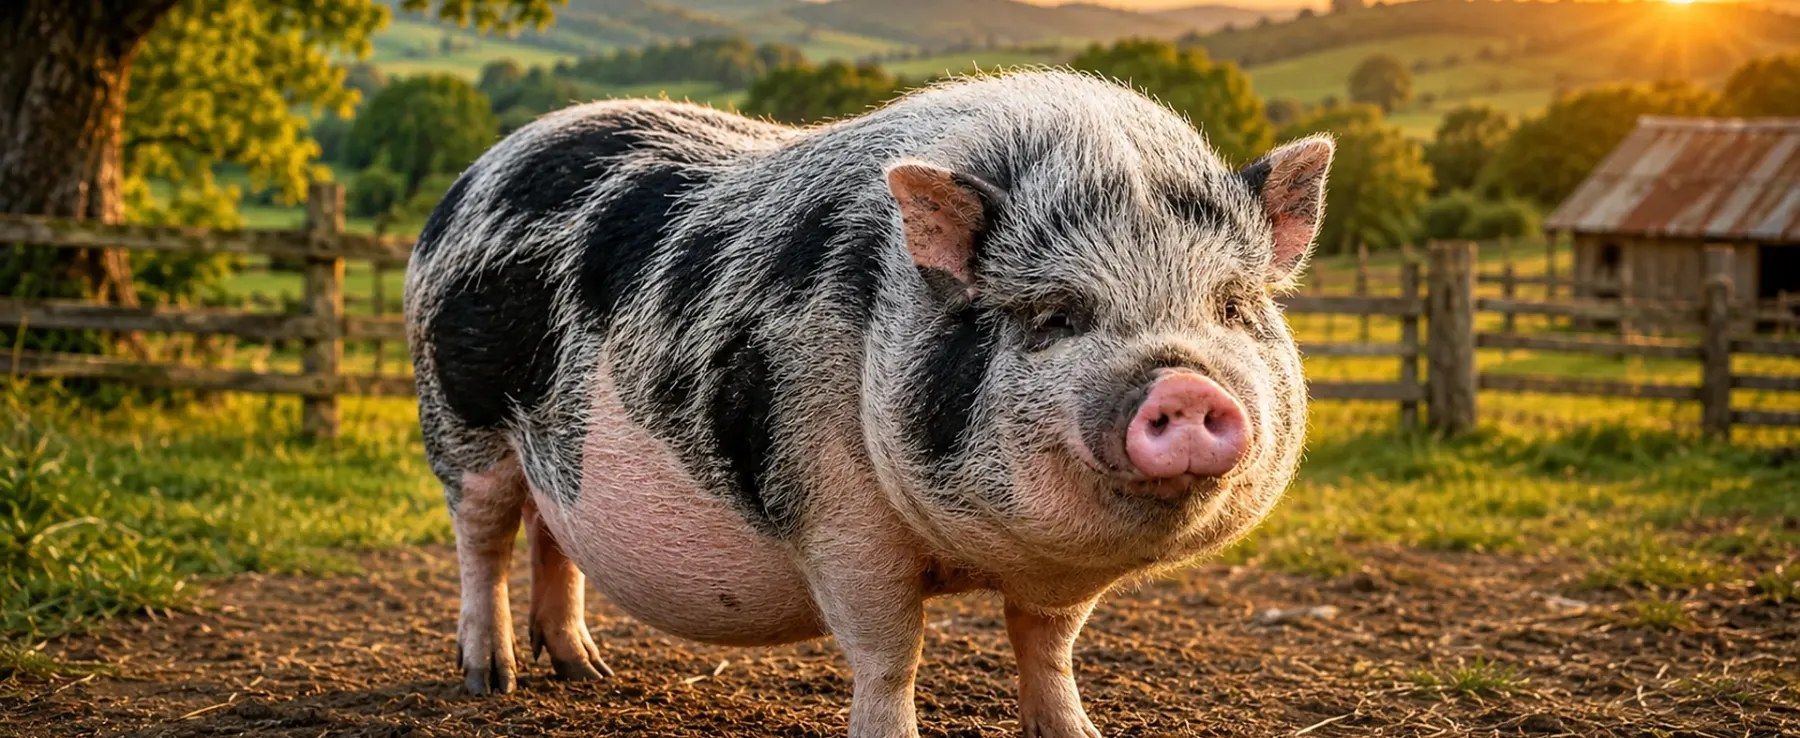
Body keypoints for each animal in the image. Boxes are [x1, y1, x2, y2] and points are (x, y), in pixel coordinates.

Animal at [403, 69, 1332, 738]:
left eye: (1232, 307)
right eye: (1056, 315)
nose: (1185, 385)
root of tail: (470, 179)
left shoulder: (1054, 576)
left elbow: (1048, 648)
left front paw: (1077, 734)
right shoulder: (839, 518)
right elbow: (890, 652)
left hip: (554, 448)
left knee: (552, 532)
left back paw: (584, 671)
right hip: (458, 420)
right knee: (482, 537)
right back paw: (489, 681)